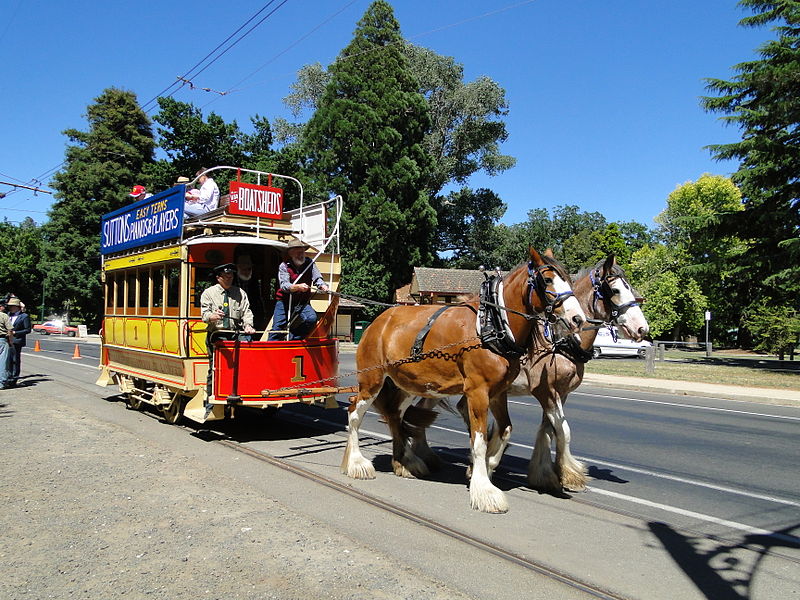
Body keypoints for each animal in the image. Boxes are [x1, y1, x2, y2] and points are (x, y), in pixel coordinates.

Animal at [340, 246, 588, 512]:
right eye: (547, 279)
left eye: (569, 279)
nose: (578, 319)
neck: (492, 324)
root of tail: (377, 322)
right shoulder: (477, 392)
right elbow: (478, 440)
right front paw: (484, 490)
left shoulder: (498, 392)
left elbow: (504, 430)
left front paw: (487, 467)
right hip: (372, 380)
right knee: (354, 412)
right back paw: (357, 463)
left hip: (406, 384)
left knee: (395, 415)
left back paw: (405, 462)